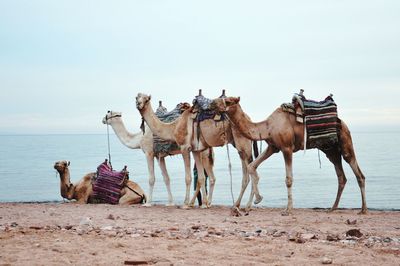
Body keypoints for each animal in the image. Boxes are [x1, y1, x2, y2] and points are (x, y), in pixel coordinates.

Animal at [211, 93, 368, 214]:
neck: (267, 126)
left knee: (358, 173)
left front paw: (288, 209)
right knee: (341, 176)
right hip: (330, 150)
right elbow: (252, 166)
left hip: (345, 141)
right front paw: (255, 200)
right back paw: (333, 208)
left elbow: (288, 179)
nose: (212, 103)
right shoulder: (273, 147)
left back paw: (363, 209)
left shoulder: (286, 148)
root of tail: (342, 123)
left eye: (228, 101)